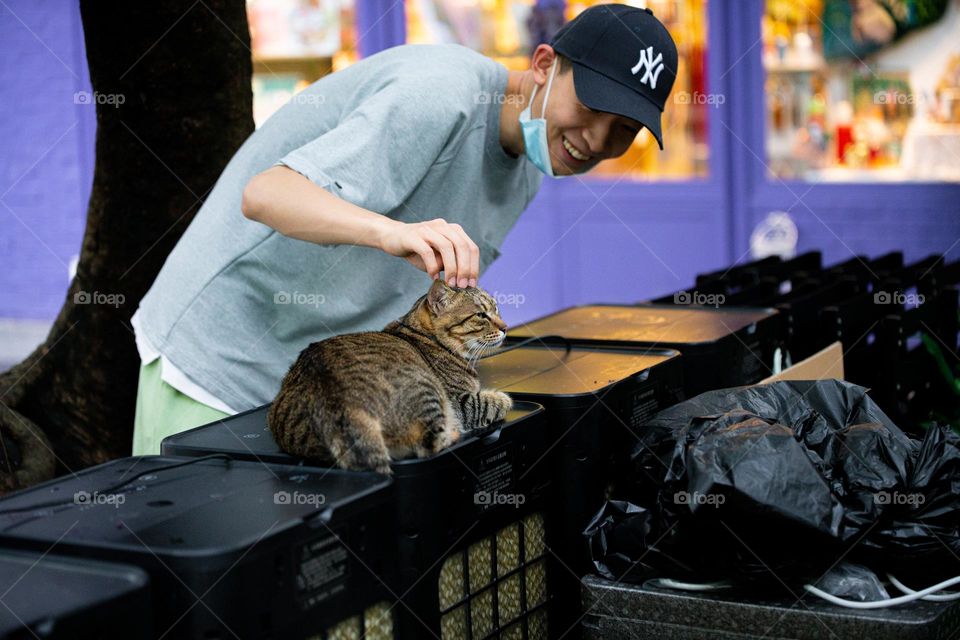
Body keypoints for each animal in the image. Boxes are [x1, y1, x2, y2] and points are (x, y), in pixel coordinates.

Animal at [266, 282, 512, 476]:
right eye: (481, 315)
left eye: (497, 309)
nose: (506, 327)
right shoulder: (459, 401)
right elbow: (489, 402)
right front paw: (504, 399)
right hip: (426, 391)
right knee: (430, 443)